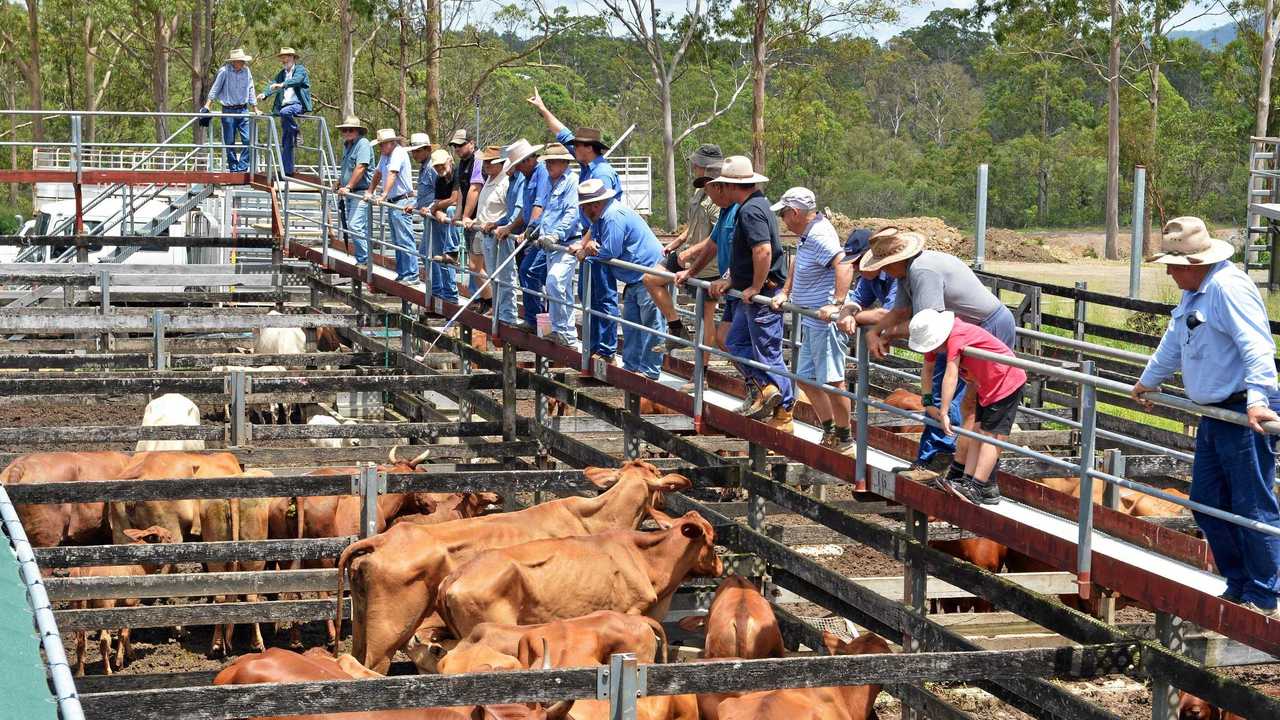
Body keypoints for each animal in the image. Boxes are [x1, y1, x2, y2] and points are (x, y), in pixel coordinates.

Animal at [69, 520, 174, 671]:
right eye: (169, 537)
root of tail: (84, 571)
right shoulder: (131, 603)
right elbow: (125, 632)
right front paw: (120, 661)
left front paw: (129, 655)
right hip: (104, 607)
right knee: (104, 640)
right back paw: (108, 671)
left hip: (78, 608)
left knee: (80, 642)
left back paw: (80, 673)